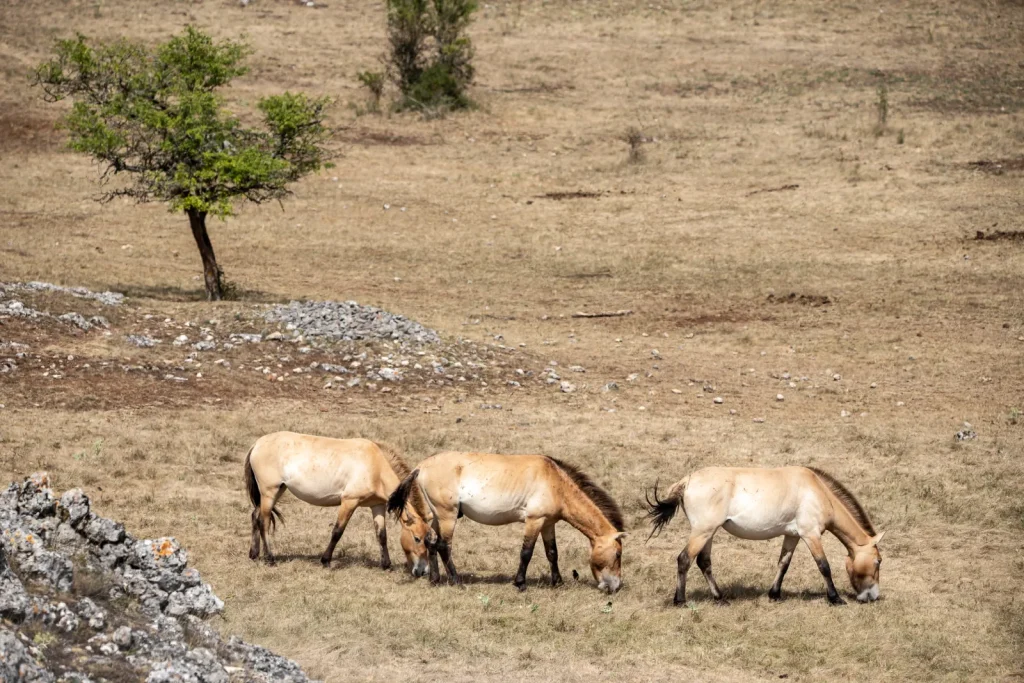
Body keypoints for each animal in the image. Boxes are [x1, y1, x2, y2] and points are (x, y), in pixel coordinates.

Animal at [243, 432, 431, 576]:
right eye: (417, 538)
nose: (423, 571)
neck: (374, 466)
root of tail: (257, 444)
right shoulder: (349, 502)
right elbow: (337, 531)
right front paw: (325, 561)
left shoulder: (377, 506)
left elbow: (381, 535)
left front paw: (387, 565)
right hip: (269, 492)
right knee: (263, 521)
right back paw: (270, 559)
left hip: (277, 491)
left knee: (255, 516)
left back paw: (254, 554)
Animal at [387, 452, 627, 593]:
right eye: (617, 554)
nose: (615, 586)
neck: (555, 482)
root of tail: (421, 467)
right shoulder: (534, 521)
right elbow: (526, 553)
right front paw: (520, 583)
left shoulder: (548, 524)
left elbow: (552, 553)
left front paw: (557, 583)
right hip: (448, 516)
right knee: (444, 546)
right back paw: (457, 581)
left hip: (438, 516)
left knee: (430, 543)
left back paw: (435, 580)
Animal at [645, 466, 885, 606]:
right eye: (878, 561)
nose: (872, 596)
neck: (816, 490)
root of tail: (687, 481)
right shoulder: (811, 535)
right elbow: (824, 566)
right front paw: (835, 598)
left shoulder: (792, 536)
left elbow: (783, 564)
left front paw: (775, 594)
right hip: (702, 532)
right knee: (684, 559)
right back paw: (680, 601)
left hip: (708, 533)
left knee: (704, 563)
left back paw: (720, 598)